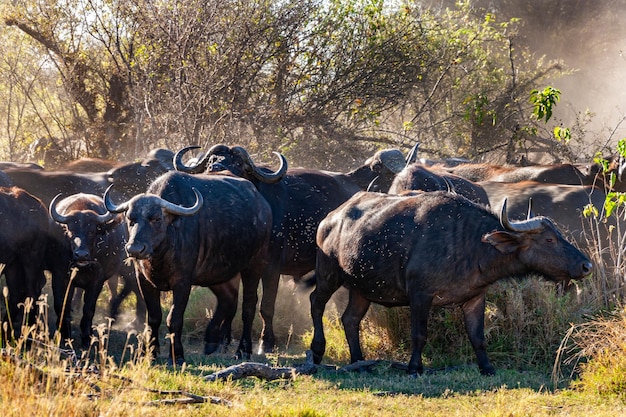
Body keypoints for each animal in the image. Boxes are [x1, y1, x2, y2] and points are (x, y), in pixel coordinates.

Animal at [48, 193, 139, 348]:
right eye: (71, 230)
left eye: (92, 231)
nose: (81, 255)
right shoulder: (60, 276)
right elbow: (61, 305)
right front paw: (63, 333)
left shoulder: (97, 280)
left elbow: (89, 309)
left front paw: (86, 337)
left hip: (127, 266)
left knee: (131, 286)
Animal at [103, 171, 272, 362]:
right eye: (131, 219)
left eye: (156, 218)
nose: (134, 249)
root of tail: (263, 206)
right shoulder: (143, 279)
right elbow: (154, 317)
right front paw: (151, 353)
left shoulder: (182, 282)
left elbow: (174, 318)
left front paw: (176, 355)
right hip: (217, 274)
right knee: (227, 299)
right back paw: (211, 344)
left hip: (254, 264)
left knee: (249, 306)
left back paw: (243, 350)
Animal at [310, 190, 592, 376]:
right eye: (548, 240)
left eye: (559, 235)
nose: (586, 266)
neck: (470, 243)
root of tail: (329, 219)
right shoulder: (420, 295)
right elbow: (419, 334)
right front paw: (414, 367)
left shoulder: (475, 298)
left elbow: (478, 336)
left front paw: (487, 368)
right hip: (328, 274)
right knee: (316, 303)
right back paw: (317, 351)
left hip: (362, 289)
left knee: (350, 319)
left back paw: (359, 362)